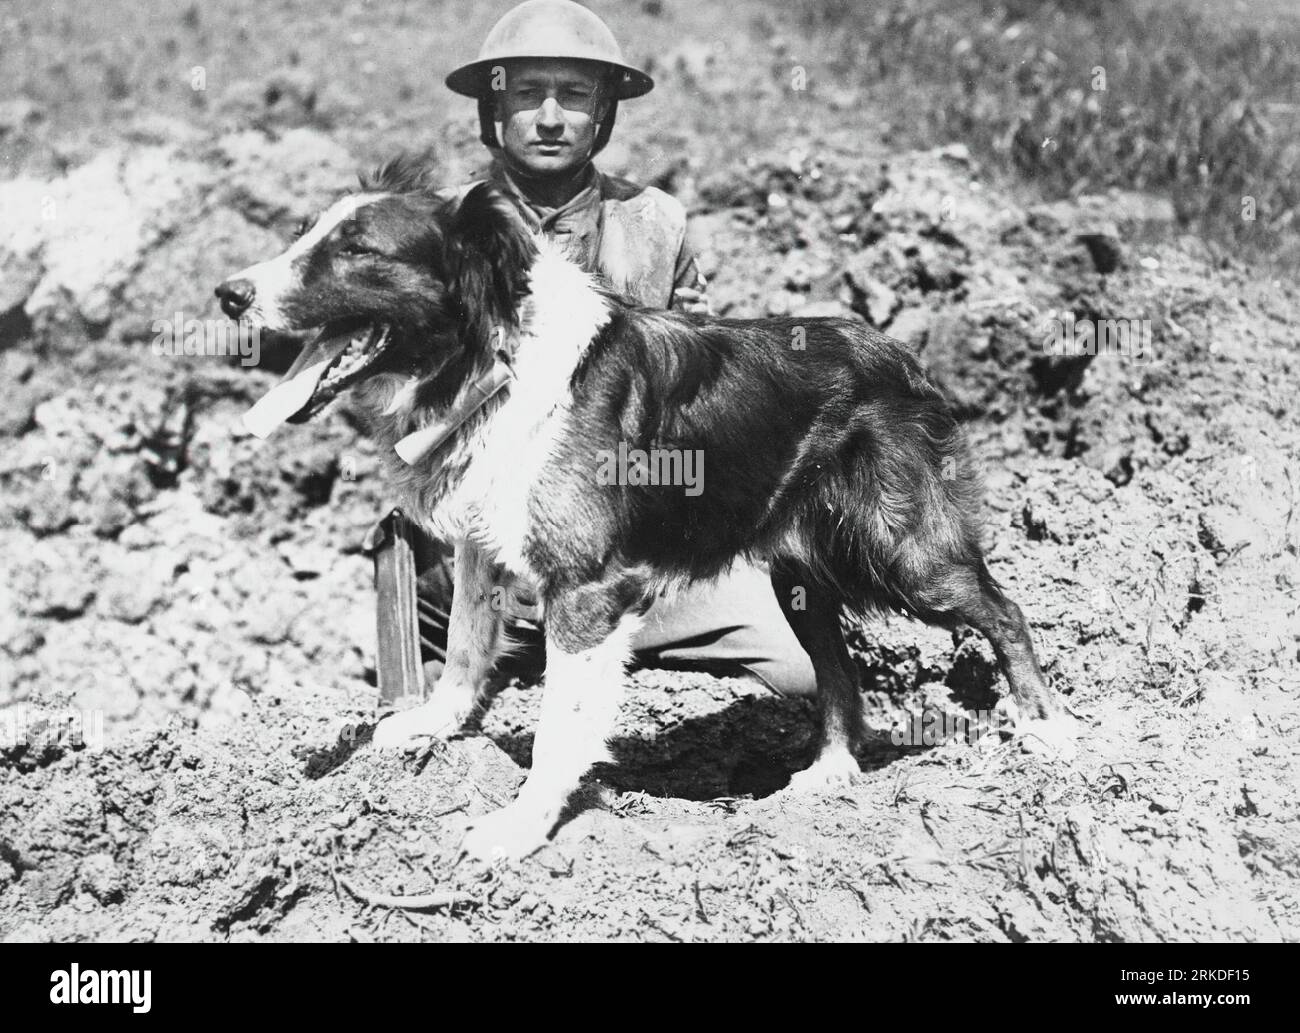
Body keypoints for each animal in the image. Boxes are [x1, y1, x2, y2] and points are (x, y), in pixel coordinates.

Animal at [218, 157, 1076, 862]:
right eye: (305, 232)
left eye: (359, 249)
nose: (228, 293)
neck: (493, 359)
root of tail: (898, 353)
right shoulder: (484, 545)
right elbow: (464, 645)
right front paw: (434, 723)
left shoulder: (586, 590)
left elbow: (558, 730)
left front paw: (520, 826)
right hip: (800, 574)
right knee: (836, 668)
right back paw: (831, 770)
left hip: (908, 552)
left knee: (1004, 609)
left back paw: (1045, 728)